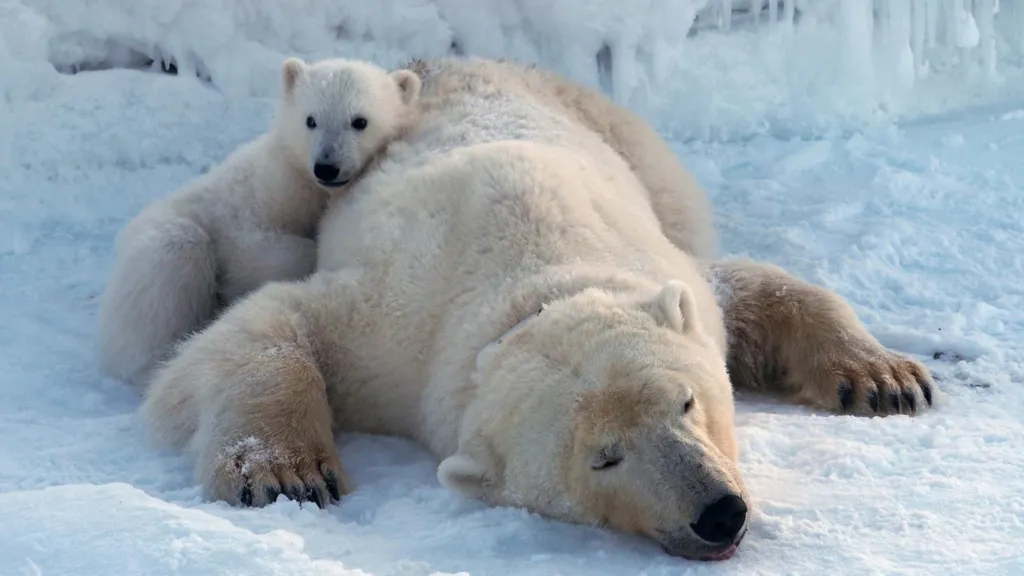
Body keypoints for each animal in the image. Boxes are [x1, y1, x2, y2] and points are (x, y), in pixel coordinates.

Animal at [96, 56, 422, 389]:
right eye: (310, 120)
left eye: (360, 121)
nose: (326, 166)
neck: (304, 186)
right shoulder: (256, 200)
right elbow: (253, 249)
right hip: (161, 237)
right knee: (172, 258)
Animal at [140, 56, 938, 562]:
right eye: (603, 458)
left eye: (686, 401)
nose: (718, 513)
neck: (531, 276)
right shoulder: (395, 330)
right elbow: (269, 325)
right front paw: (286, 473)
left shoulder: (655, 261)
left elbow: (747, 290)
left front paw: (885, 380)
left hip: (631, 143)